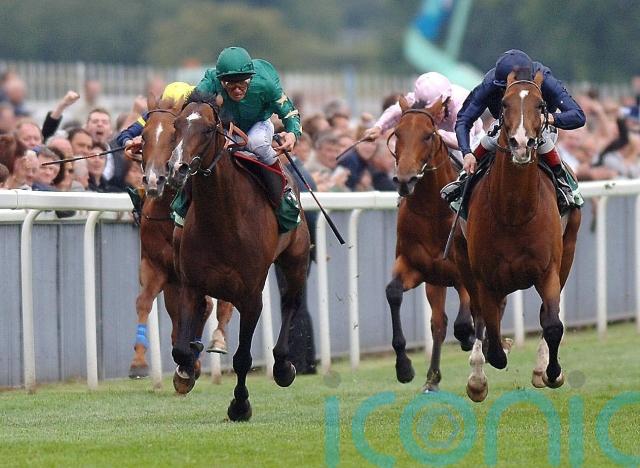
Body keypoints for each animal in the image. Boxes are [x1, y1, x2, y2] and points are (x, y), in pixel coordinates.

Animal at [128, 93, 234, 380]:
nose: (155, 180)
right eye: (143, 136)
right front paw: (138, 362)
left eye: (171, 136)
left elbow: (204, 306)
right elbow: (144, 303)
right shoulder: (155, 265)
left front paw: (192, 361)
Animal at [170, 90, 311, 421]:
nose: (177, 168)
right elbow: (180, 349)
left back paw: (283, 366)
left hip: (295, 260)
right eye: (177, 125)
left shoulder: (251, 296)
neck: (222, 220)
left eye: (208, 129)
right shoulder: (191, 284)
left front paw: (240, 404)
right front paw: (185, 373)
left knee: (291, 302)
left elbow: (243, 358)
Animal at [385, 96, 476, 393]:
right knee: (438, 323)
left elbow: (465, 320)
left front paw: (468, 337)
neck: (433, 211)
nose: (405, 180)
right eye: (397, 133)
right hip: (435, 283)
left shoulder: (463, 271)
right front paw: (404, 368)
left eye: (427, 135)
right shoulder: (415, 267)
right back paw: (432, 378)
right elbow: (393, 293)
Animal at [453, 70, 581, 402]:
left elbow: (552, 323)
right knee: (480, 318)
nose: (522, 144)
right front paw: (486, 366)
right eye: (504, 104)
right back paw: (477, 377)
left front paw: (551, 372)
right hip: (462, 259)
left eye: (541, 105)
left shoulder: (548, 269)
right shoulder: (485, 277)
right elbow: (493, 341)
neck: (514, 213)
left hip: (568, 251)